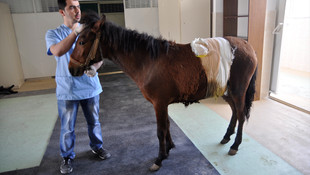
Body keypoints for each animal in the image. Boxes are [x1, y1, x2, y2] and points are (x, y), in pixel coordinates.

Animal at [69, 13, 258, 172]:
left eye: (82, 42)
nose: (72, 69)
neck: (148, 61)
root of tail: (247, 45)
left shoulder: (159, 103)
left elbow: (160, 130)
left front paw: (159, 159)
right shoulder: (162, 104)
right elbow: (166, 125)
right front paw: (169, 149)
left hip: (238, 91)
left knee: (241, 114)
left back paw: (235, 145)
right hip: (228, 92)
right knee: (234, 112)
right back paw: (227, 136)